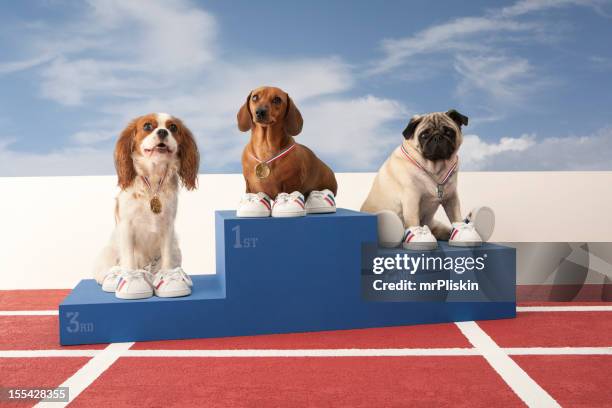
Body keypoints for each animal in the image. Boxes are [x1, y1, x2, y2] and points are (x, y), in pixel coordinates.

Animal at [94, 113, 198, 298]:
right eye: (148, 126)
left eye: (173, 127)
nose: (163, 131)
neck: (153, 182)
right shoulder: (127, 227)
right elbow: (129, 259)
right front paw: (130, 279)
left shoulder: (167, 227)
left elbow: (166, 258)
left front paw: (167, 278)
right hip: (108, 253)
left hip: (176, 250)